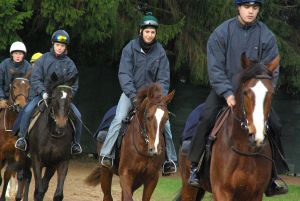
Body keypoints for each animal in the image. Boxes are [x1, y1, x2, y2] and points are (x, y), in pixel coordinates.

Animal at [175, 53, 280, 201]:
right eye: (246, 92)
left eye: (271, 93)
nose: (257, 136)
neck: (244, 149)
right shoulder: (221, 191)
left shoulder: (255, 194)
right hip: (189, 188)